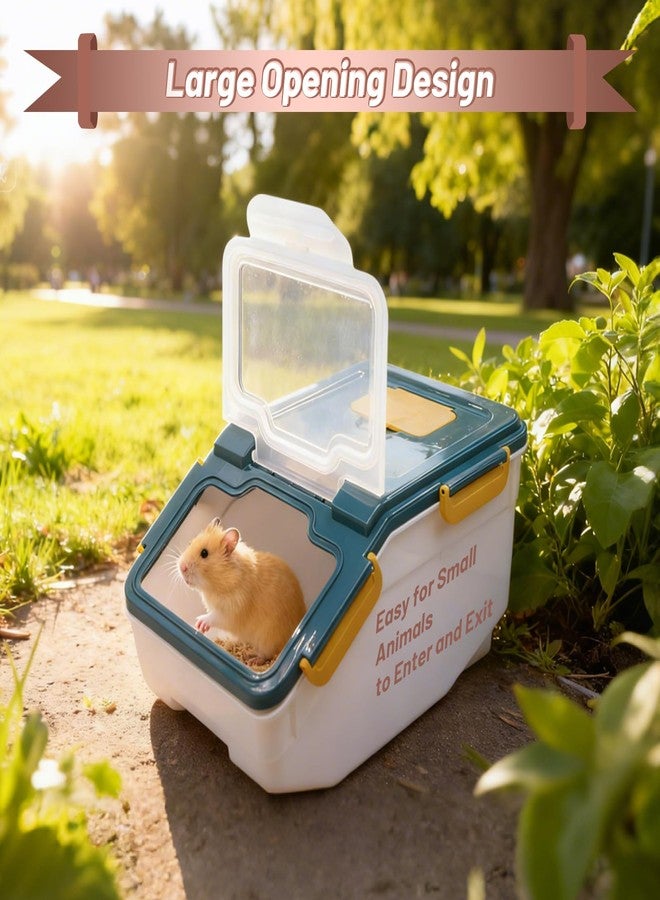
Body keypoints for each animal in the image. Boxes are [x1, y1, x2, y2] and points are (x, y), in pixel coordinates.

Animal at [177, 517, 306, 664]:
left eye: (204, 553)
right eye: (190, 543)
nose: (181, 567)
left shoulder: (230, 611)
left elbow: (214, 617)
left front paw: (199, 623)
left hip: (267, 638)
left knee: (266, 655)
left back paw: (252, 659)